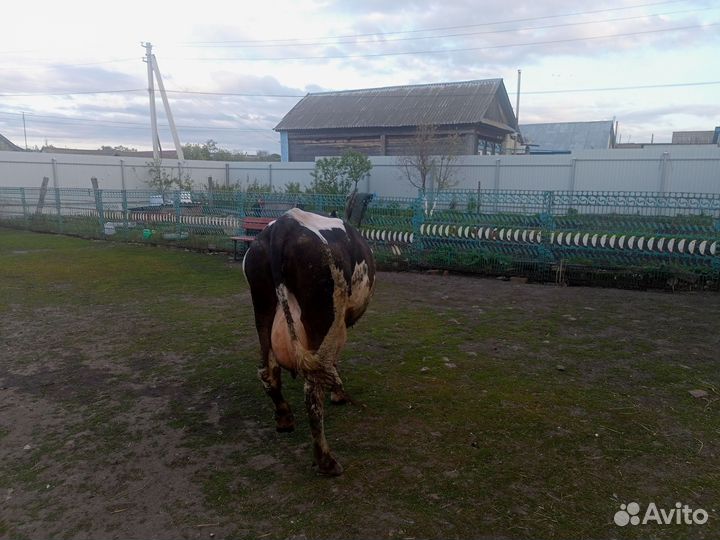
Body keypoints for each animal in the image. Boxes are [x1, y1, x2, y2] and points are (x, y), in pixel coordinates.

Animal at [242, 207, 376, 476]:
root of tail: (283, 225)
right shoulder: (338, 324)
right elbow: (332, 363)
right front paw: (338, 394)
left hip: (262, 307)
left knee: (268, 370)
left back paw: (284, 418)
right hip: (322, 315)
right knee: (313, 387)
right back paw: (326, 461)